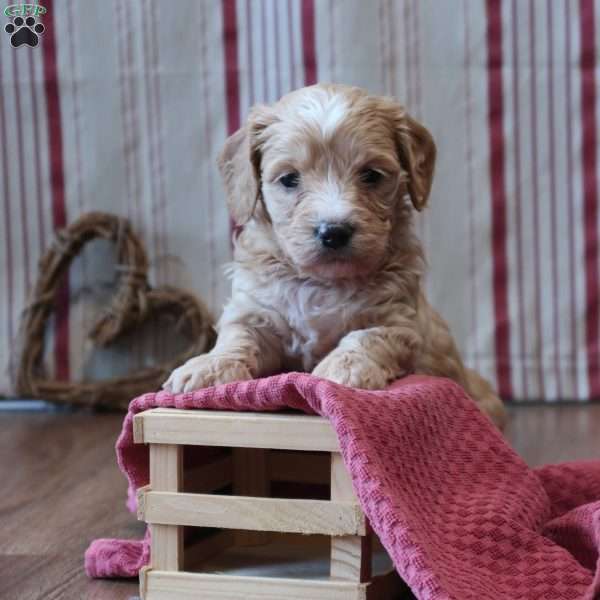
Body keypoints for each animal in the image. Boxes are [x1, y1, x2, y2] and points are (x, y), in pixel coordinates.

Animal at [163, 85, 506, 432]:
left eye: (371, 175)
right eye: (289, 179)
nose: (334, 232)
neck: (322, 282)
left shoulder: (400, 320)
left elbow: (367, 336)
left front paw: (344, 367)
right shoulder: (257, 310)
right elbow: (238, 336)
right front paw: (209, 366)